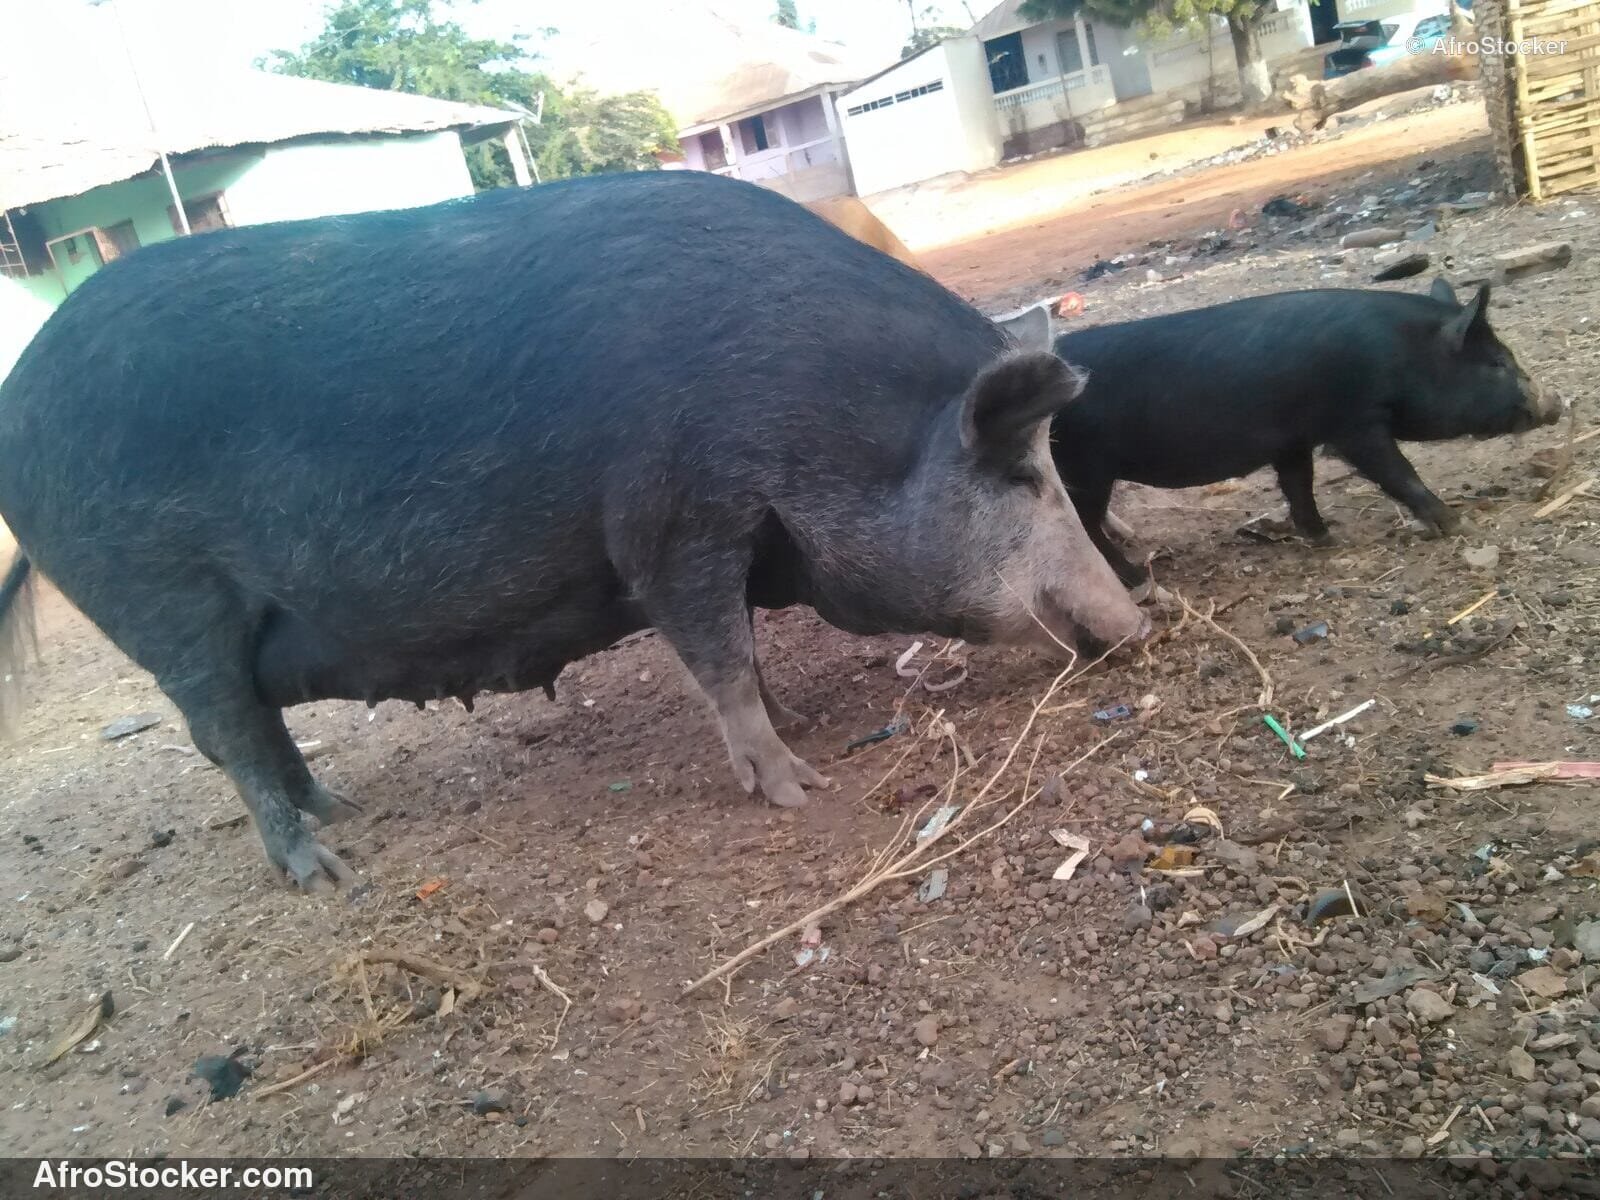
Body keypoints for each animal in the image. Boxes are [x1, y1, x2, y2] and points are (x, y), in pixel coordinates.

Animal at [0, 170, 1147, 893]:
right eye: (1016, 473)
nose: (1140, 623)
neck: (812, 420)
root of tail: (16, 401)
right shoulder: (671, 522)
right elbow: (720, 656)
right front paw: (798, 787)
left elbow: (738, 650)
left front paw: (801, 732)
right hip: (165, 602)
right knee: (231, 735)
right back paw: (326, 876)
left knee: (258, 733)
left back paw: (345, 814)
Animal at [1035, 280, 1559, 585]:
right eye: (1497, 363)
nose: (1554, 404)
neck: (1401, 353)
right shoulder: (1353, 421)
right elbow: (1398, 473)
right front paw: (1459, 525)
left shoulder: (1292, 439)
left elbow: (1298, 484)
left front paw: (1324, 538)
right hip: (1083, 468)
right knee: (1083, 527)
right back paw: (1137, 579)